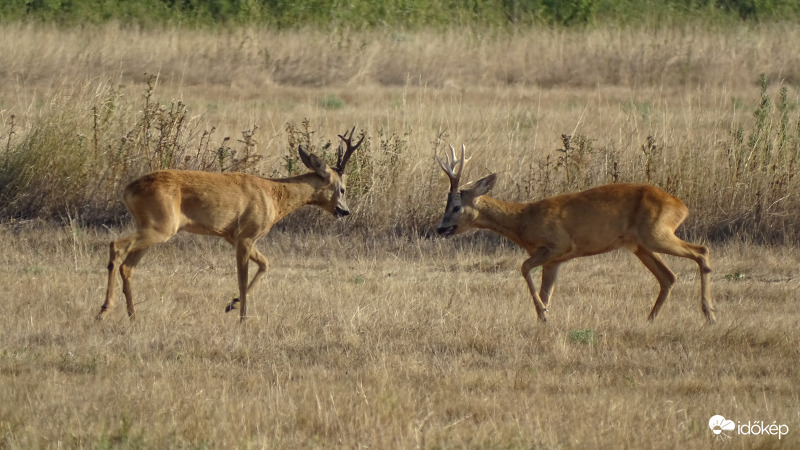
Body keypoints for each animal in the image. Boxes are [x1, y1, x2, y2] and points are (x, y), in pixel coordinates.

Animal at [97, 128, 366, 322]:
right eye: (342, 188)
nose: (344, 211)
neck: (273, 195)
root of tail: (128, 190)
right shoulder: (246, 234)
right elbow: (242, 277)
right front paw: (243, 317)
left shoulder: (232, 236)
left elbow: (265, 264)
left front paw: (232, 305)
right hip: (161, 226)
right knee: (116, 247)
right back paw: (104, 311)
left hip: (151, 228)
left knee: (128, 267)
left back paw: (133, 316)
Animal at [434, 144, 716, 324]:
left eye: (456, 206)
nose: (440, 228)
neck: (523, 221)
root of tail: (681, 206)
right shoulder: (554, 261)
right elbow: (545, 290)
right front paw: (543, 317)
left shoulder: (558, 245)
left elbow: (524, 268)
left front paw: (543, 314)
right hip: (641, 245)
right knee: (668, 277)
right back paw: (651, 319)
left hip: (656, 233)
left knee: (701, 251)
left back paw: (709, 314)